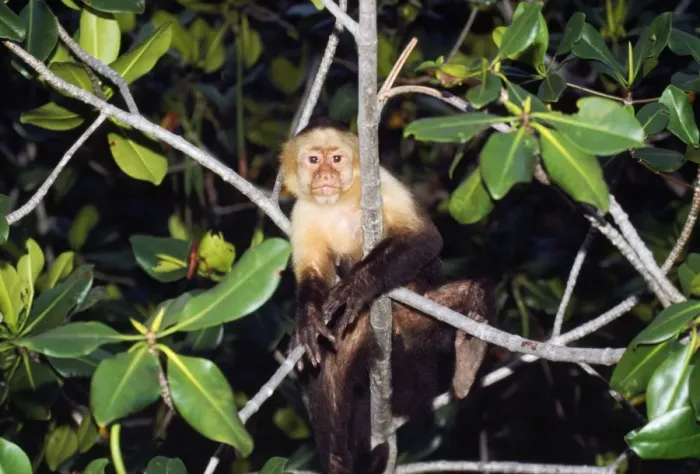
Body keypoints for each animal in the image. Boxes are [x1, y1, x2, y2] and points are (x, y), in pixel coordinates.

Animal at [280, 118, 495, 474]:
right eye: (313, 160)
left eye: (336, 159)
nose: (325, 176)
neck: (337, 203)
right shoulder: (302, 214)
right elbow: (313, 277)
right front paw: (307, 320)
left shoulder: (383, 183)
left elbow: (424, 240)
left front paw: (356, 286)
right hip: (357, 332)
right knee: (327, 373)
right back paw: (337, 462)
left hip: (417, 317)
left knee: (469, 292)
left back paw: (469, 355)